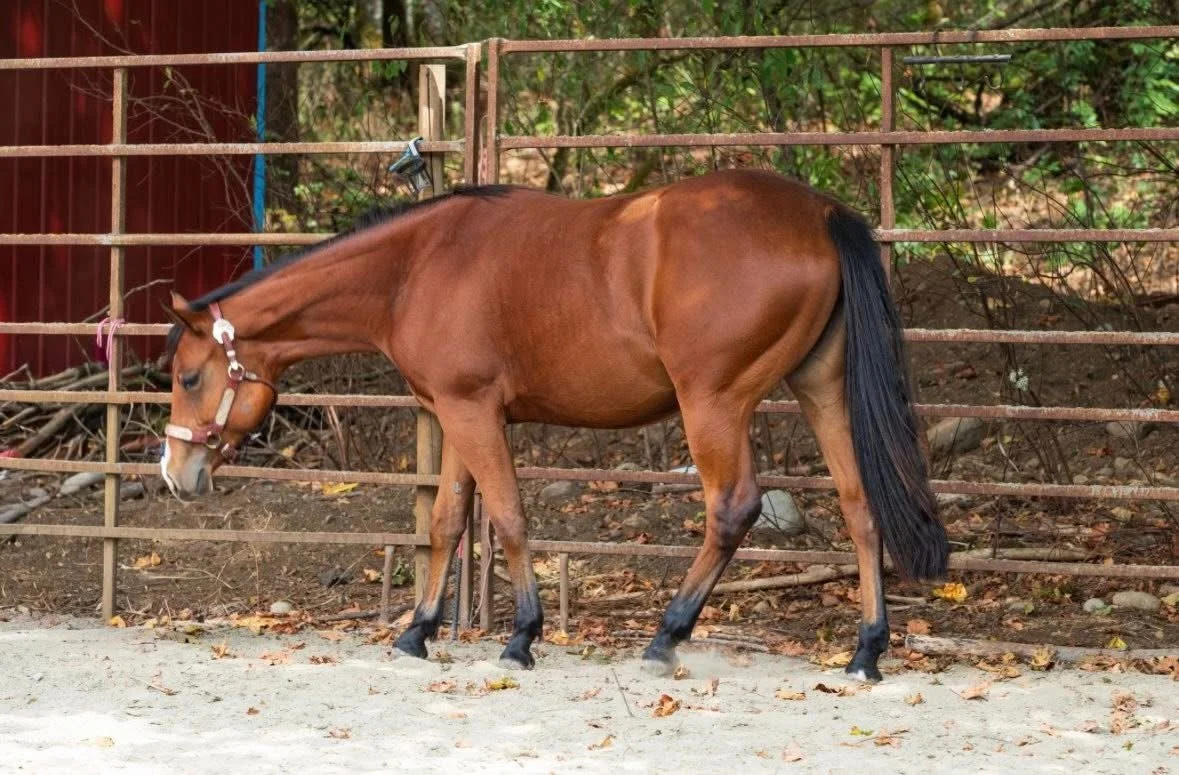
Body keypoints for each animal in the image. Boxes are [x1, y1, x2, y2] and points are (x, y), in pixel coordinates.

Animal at [160, 168, 947, 682]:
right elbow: (447, 520)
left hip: (714, 403)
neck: (416, 267)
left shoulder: (473, 411)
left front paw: (521, 636)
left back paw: (667, 635)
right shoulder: (456, 414)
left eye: (188, 376)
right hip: (820, 390)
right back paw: (866, 650)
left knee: (733, 508)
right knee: (860, 507)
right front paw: (418, 630)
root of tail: (818, 212)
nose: (175, 472)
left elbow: (507, 517)